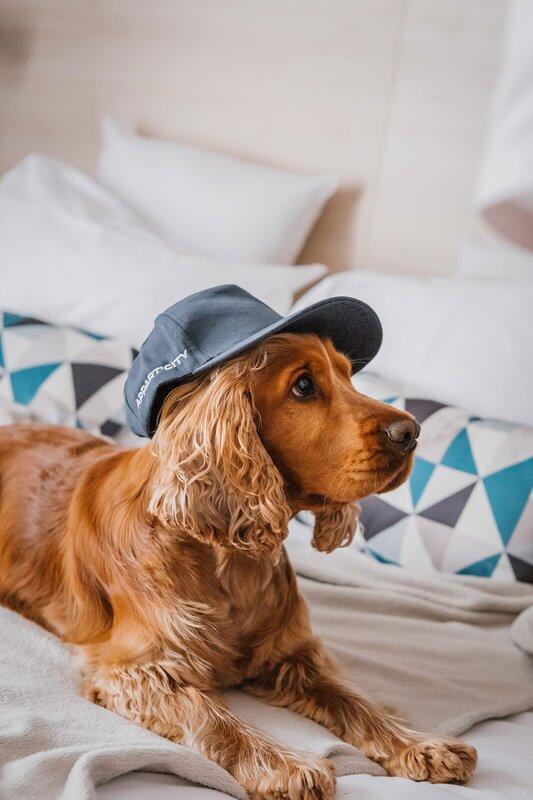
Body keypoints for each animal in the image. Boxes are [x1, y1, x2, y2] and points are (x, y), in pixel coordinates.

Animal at [0, 332, 474, 800]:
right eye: (303, 385)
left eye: (347, 375)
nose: (411, 432)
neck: (227, 560)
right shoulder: (135, 668)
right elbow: (209, 716)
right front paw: (286, 765)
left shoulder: (292, 652)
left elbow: (354, 696)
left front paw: (419, 744)